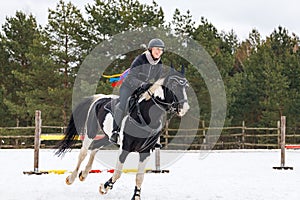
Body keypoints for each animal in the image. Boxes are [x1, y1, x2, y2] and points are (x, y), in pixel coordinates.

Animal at [54, 65, 189, 198]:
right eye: (174, 85)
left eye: (186, 86)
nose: (184, 108)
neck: (144, 116)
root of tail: (100, 97)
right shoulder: (125, 148)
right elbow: (118, 173)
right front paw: (104, 187)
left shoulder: (145, 152)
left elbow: (139, 177)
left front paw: (136, 196)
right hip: (91, 131)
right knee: (83, 152)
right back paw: (71, 178)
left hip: (108, 138)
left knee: (95, 147)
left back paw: (84, 174)